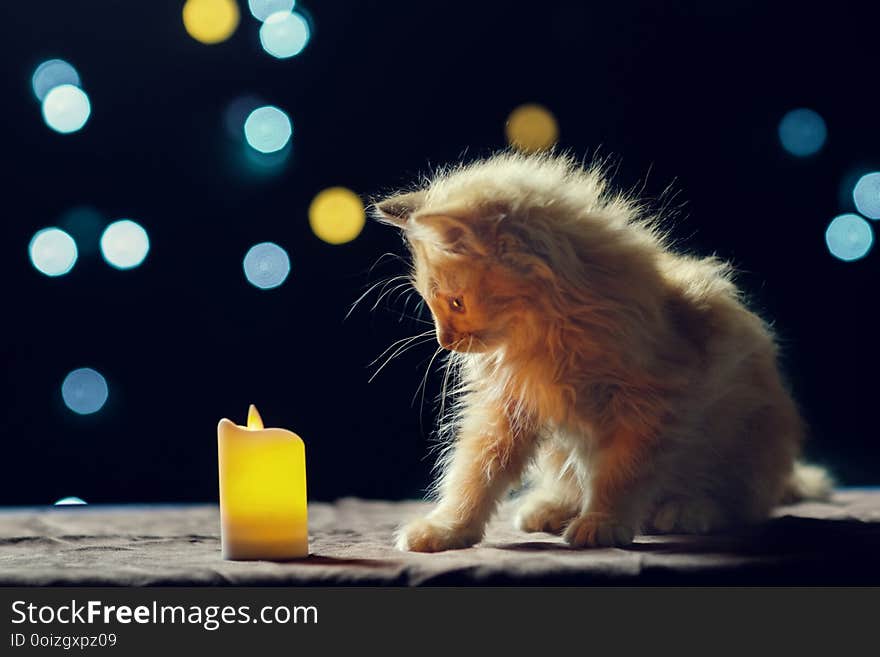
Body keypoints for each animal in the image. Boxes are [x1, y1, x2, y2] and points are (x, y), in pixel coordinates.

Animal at [372, 151, 832, 552]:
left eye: (455, 303)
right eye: (432, 304)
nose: (445, 341)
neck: (547, 335)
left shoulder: (653, 404)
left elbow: (620, 473)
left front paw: (603, 521)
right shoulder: (505, 406)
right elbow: (475, 471)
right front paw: (448, 528)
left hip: (746, 435)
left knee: (740, 502)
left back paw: (686, 510)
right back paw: (550, 506)